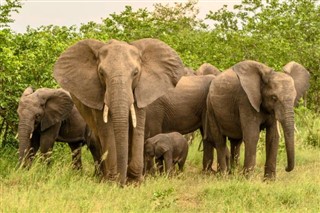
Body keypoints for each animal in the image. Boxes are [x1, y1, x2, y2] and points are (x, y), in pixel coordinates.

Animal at [53, 37, 186, 185]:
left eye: (135, 73)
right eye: (101, 73)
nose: (122, 183)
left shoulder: (141, 90)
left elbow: (137, 127)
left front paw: (135, 182)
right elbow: (107, 130)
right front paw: (113, 181)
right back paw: (104, 177)